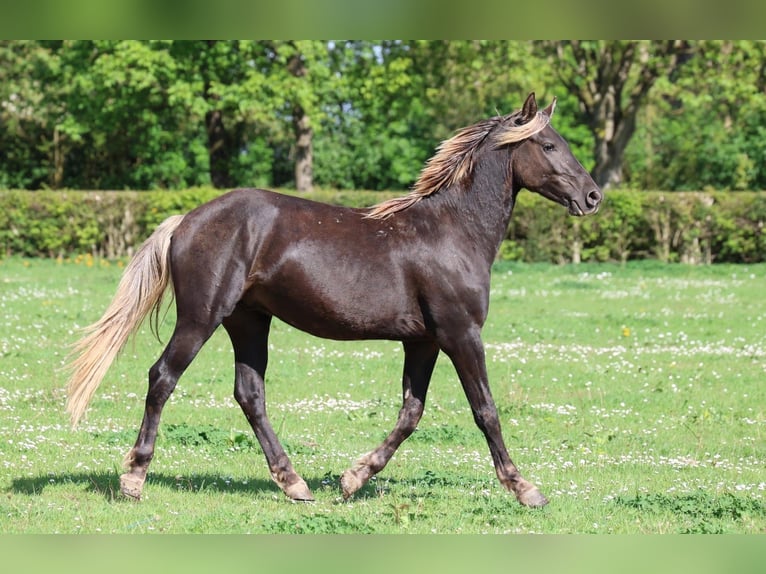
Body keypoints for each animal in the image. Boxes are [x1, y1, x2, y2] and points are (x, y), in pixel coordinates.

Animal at [66, 92, 601, 508]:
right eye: (549, 145)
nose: (594, 197)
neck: (450, 232)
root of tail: (186, 221)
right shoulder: (461, 334)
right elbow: (485, 410)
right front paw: (525, 488)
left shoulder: (424, 342)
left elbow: (411, 413)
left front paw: (353, 478)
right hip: (201, 317)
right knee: (162, 377)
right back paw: (134, 479)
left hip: (249, 321)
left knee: (249, 393)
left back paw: (295, 484)